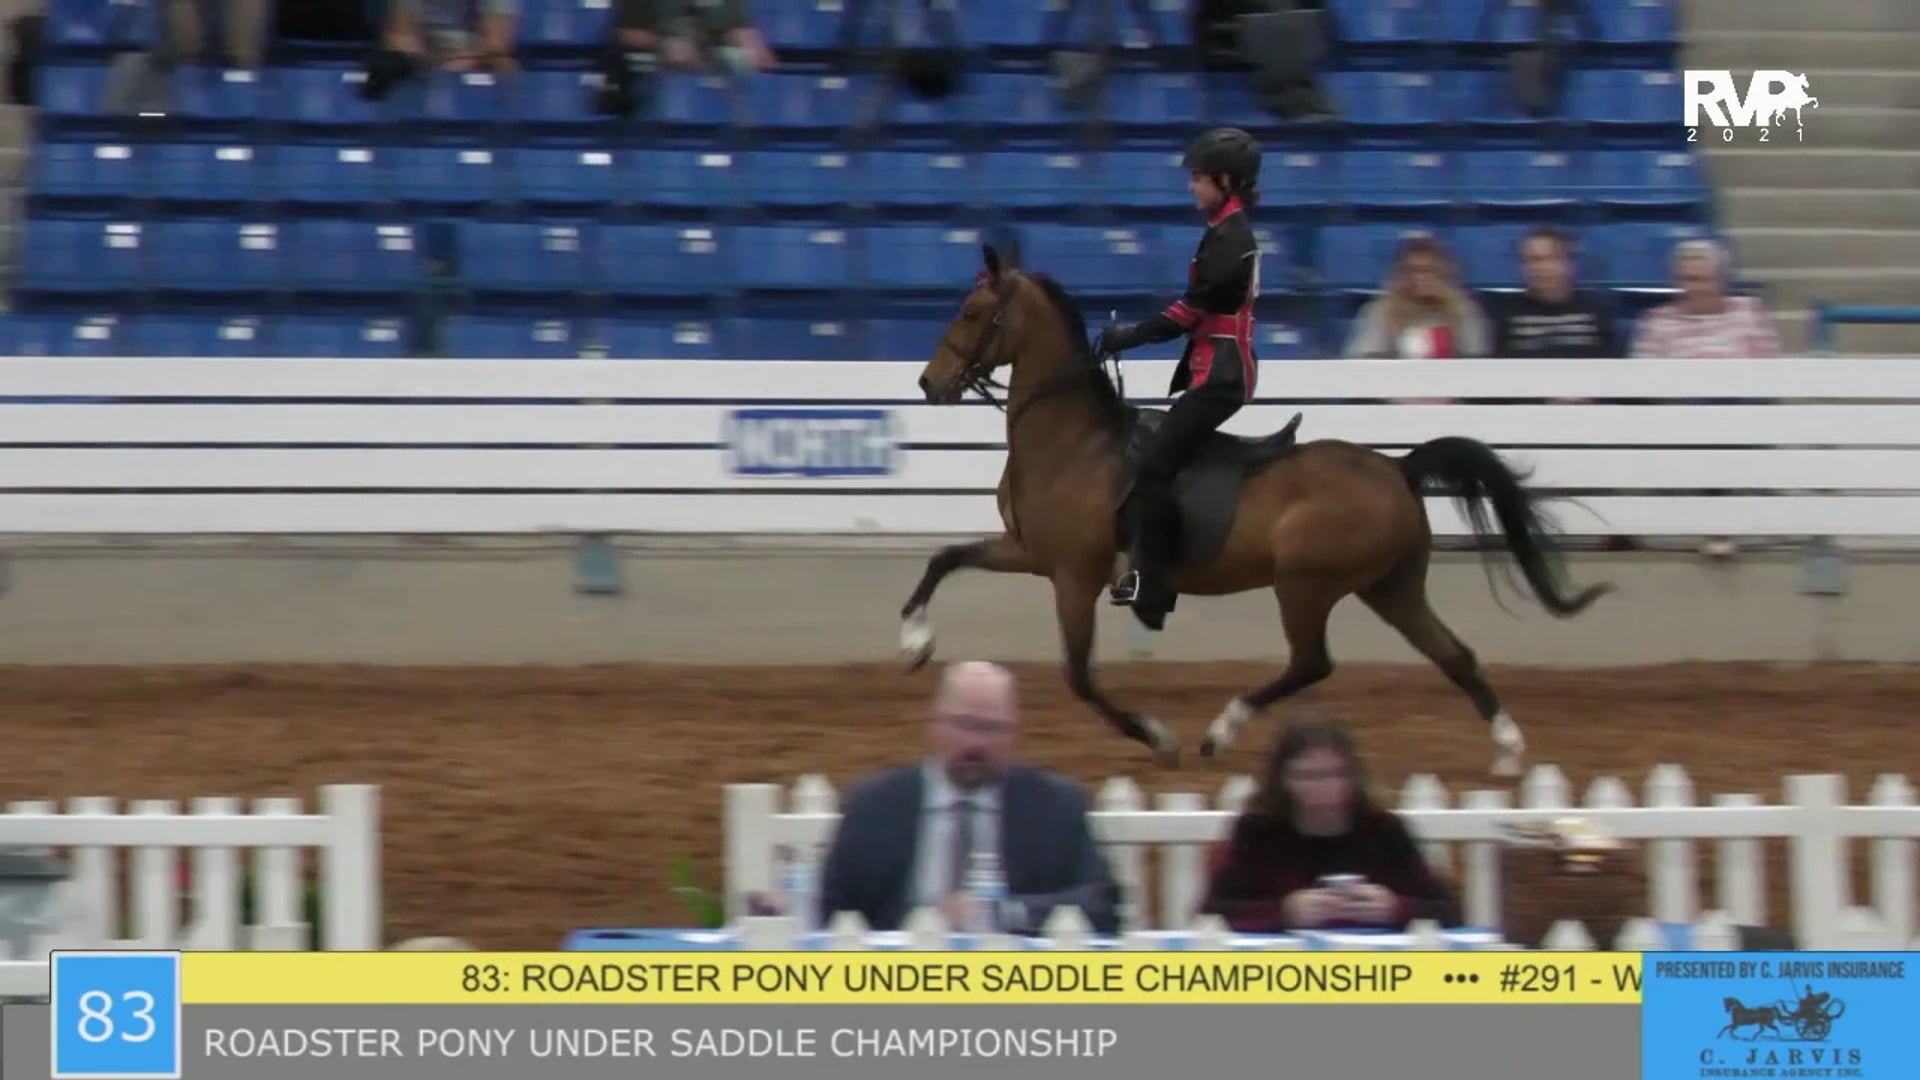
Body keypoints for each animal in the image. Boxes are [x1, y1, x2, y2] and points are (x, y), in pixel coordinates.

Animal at [896, 244, 1611, 774]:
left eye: (971, 311)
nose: (929, 383)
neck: (1074, 443)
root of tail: (1397, 467)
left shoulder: (1074, 576)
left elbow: (1079, 677)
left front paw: (1158, 737)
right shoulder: (1032, 554)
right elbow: (946, 557)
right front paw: (914, 642)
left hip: (1306, 584)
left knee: (1313, 662)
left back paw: (1222, 730)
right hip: (1391, 586)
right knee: (1452, 654)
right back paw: (1510, 749)